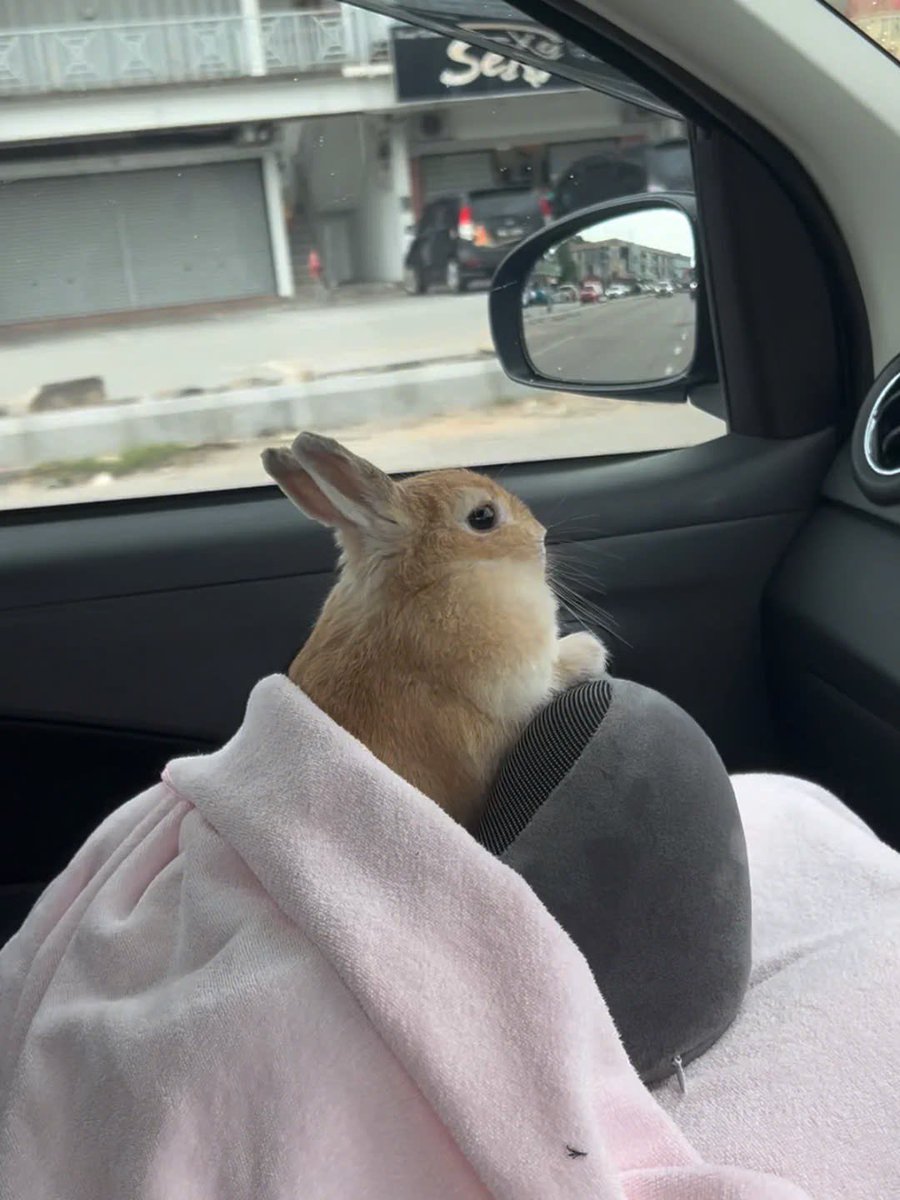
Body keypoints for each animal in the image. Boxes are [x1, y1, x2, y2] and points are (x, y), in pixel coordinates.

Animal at [262, 432, 609, 830]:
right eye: (483, 517)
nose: (541, 534)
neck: (422, 581)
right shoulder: (516, 679)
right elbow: (554, 675)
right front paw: (592, 649)